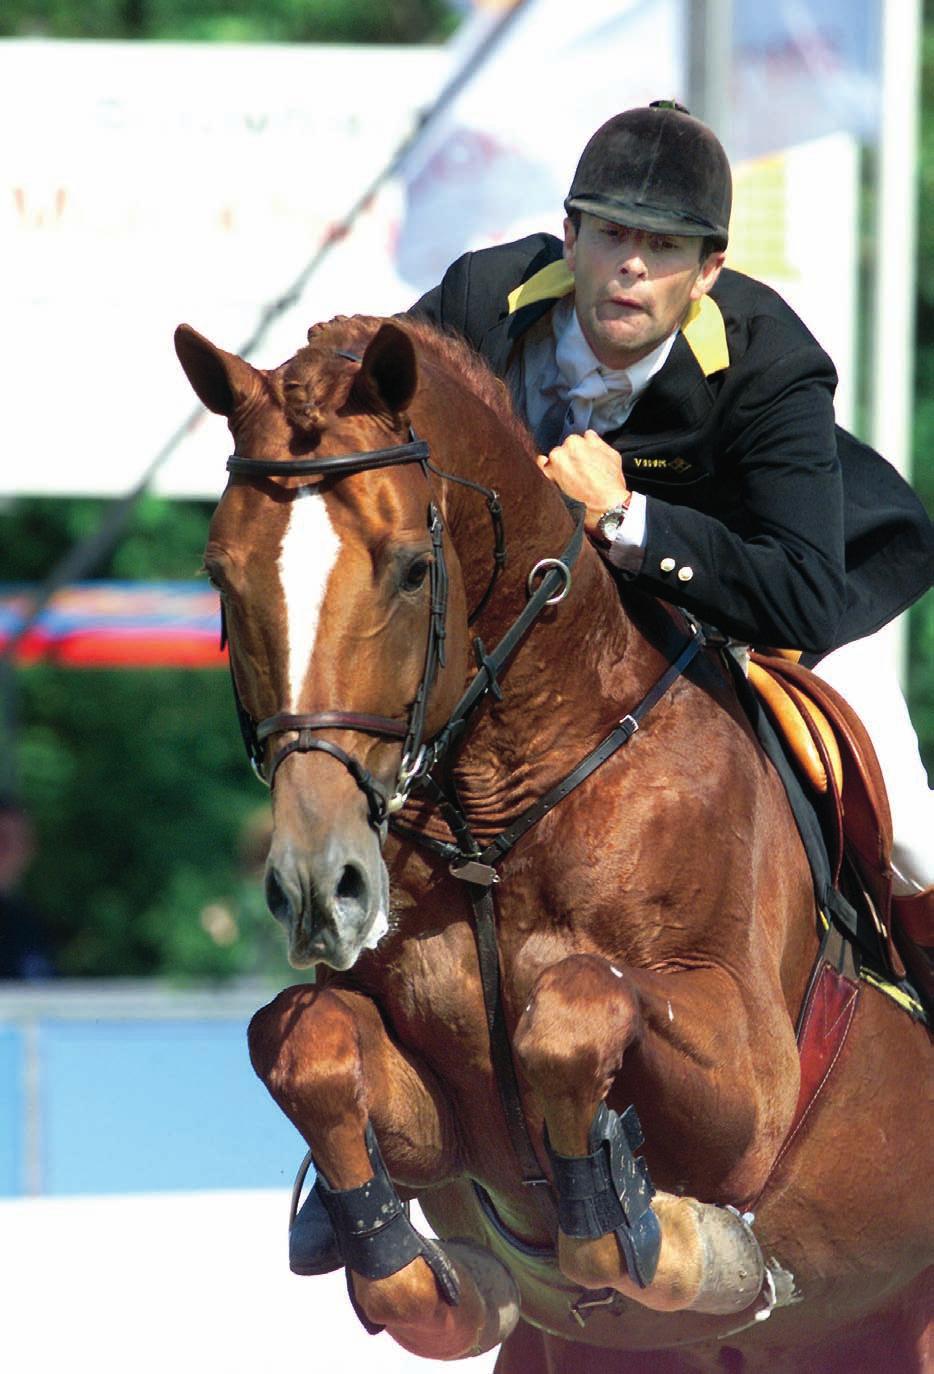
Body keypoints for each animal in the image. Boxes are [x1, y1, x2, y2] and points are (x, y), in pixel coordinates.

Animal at [177, 314, 934, 1374]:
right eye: (221, 574)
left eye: (414, 568)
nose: (323, 888)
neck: (497, 816)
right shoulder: (439, 1119)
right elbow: (301, 1041)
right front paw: (429, 1277)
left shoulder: (752, 1094)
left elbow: (575, 1011)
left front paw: (682, 1246)